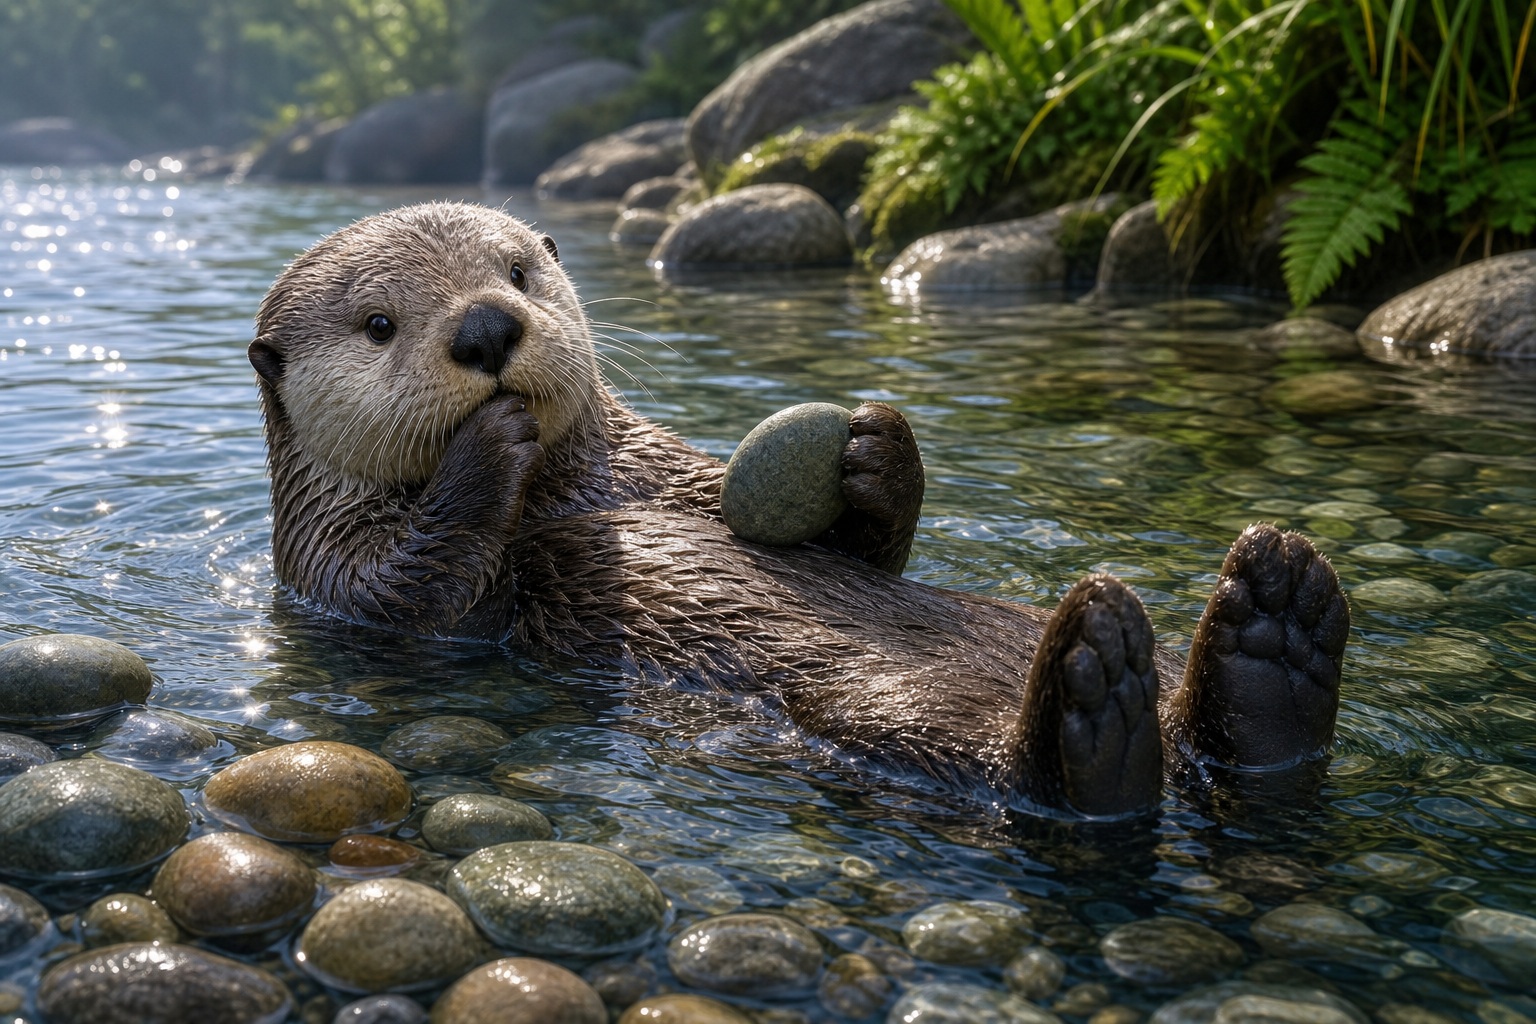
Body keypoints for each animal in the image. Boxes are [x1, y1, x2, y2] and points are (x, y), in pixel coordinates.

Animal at [250, 202, 1349, 818]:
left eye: (518, 271)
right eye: (379, 323)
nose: (484, 326)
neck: (579, 488)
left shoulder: (670, 468)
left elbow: (862, 548)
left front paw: (876, 448)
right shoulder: (329, 567)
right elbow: (421, 593)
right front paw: (488, 450)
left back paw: (1276, 622)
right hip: (895, 721)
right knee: (1033, 776)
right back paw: (1110, 695)